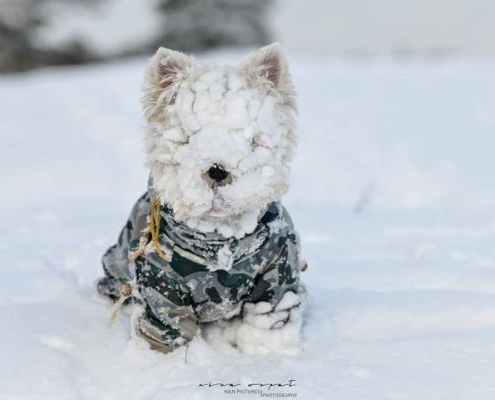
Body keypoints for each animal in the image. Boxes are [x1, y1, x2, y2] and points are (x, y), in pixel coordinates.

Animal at [97, 43, 306, 354]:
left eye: (253, 140)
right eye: (187, 137)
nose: (218, 170)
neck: (219, 242)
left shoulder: (278, 278)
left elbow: (268, 324)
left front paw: (267, 354)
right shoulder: (160, 287)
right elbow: (166, 328)